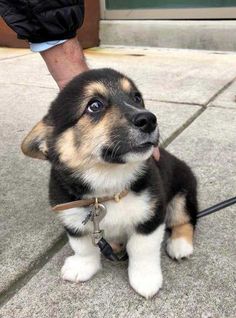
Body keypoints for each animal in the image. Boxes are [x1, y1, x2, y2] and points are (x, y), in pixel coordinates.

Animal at [21, 68, 197, 300]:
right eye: (94, 105)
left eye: (136, 98)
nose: (149, 119)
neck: (107, 184)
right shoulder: (73, 219)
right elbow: (83, 246)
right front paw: (82, 267)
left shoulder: (150, 217)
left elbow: (142, 249)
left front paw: (145, 279)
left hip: (182, 193)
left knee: (185, 220)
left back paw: (179, 245)